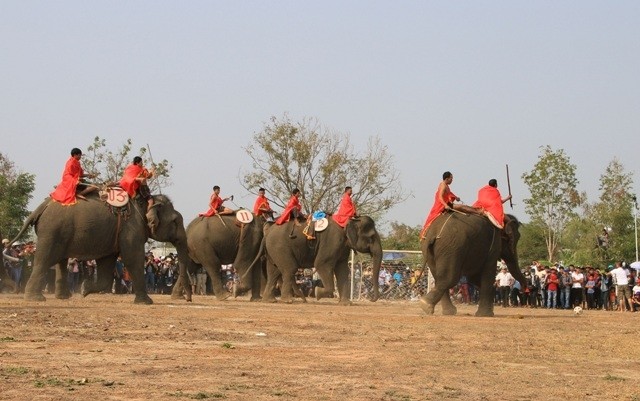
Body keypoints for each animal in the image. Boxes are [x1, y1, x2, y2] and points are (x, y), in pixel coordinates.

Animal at [12, 194, 189, 304]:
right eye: (175, 221)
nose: (187, 298)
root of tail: (42, 206)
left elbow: (107, 263)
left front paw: (84, 289)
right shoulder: (131, 229)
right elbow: (133, 259)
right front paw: (146, 302)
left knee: (60, 261)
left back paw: (63, 297)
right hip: (51, 231)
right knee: (44, 260)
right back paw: (35, 298)